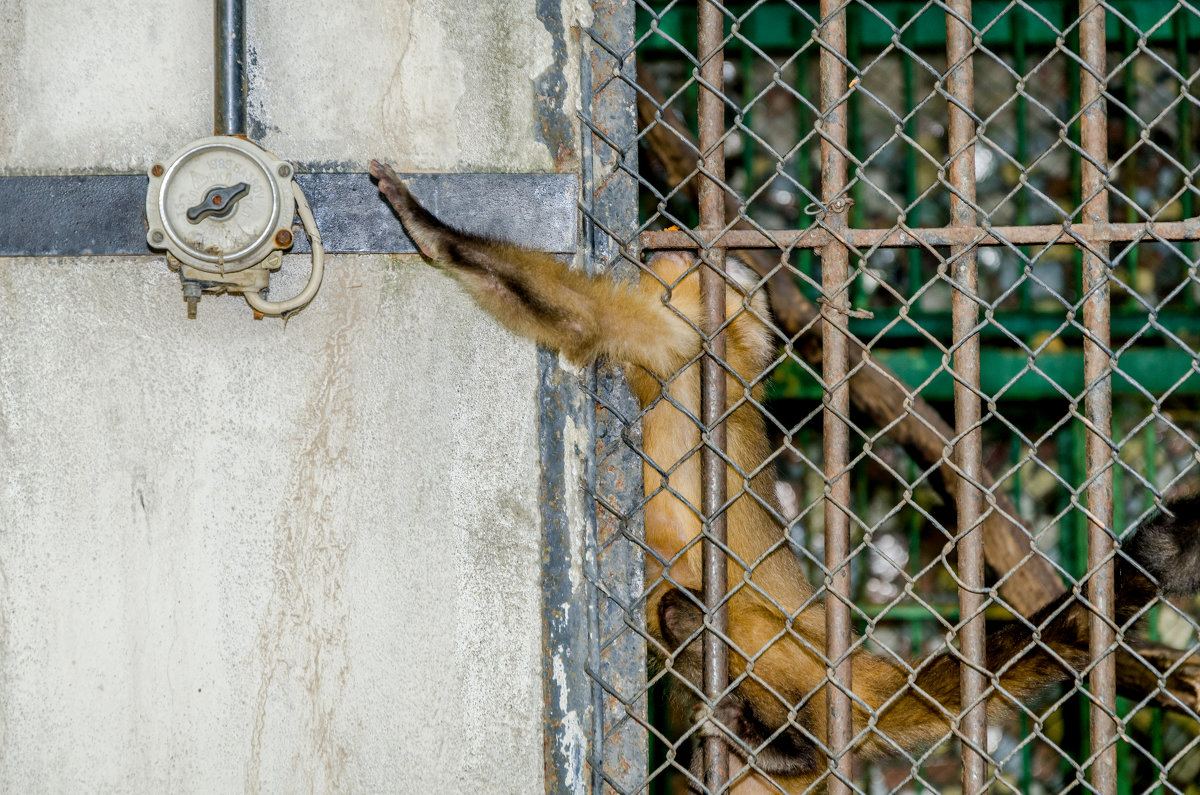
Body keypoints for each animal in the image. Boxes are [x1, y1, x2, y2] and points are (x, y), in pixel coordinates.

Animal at [367, 158, 1200, 792]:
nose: (679, 254)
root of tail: (850, 666)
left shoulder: (682, 340)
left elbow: (580, 319)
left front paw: (428, 226)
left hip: (796, 664)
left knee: (700, 614)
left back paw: (790, 748)